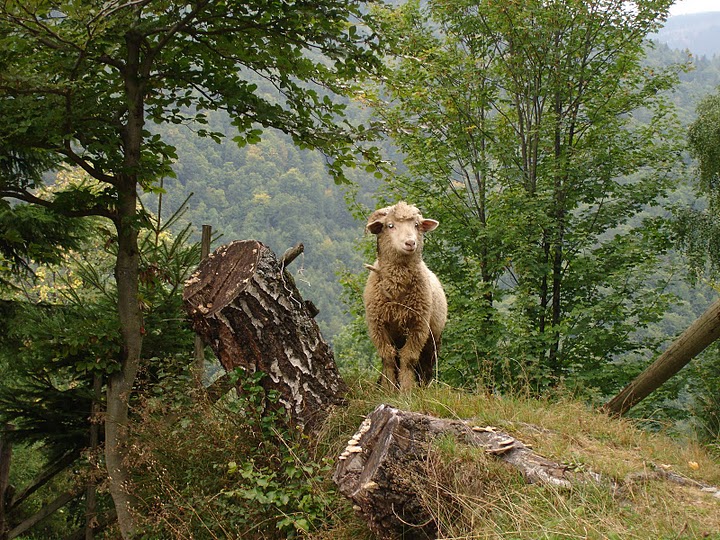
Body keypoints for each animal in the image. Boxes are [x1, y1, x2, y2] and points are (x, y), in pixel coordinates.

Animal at [362, 200, 448, 390]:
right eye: (390, 225)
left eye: (416, 225)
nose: (410, 242)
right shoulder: (378, 326)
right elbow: (388, 358)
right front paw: (387, 389)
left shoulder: (418, 326)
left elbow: (408, 359)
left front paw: (407, 390)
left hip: (433, 338)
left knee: (426, 366)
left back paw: (424, 387)